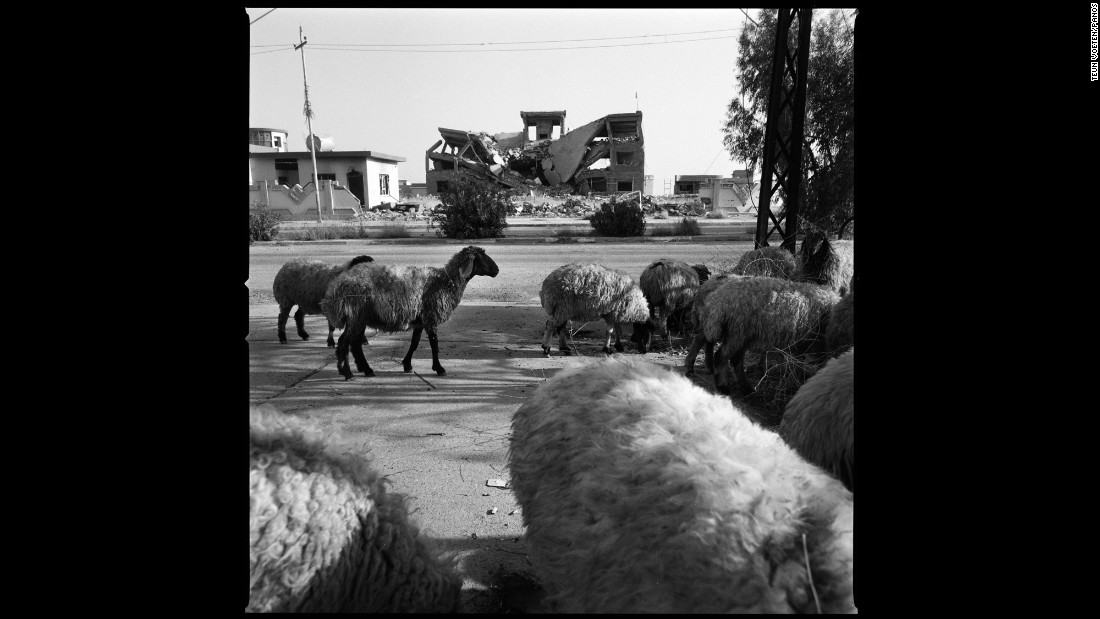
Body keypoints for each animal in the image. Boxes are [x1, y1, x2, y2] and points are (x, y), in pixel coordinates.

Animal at [321, 245, 499, 380]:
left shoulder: (420, 320)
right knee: (344, 342)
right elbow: (434, 344)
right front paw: (439, 368)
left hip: (360, 317)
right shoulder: (430, 316)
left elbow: (414, 343)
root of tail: (336, 287)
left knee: (355, 343)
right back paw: (347, 372)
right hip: (355, 315)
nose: (497, 270)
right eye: (482, 256)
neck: (445, 281)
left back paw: (367, 370)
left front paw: (407, 364)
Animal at [699, 277, 836, 395]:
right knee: (721, 356)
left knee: (736, 361)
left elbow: (799, 365)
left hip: (742, 334)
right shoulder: (812, 342)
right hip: (737, 331)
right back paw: (724, 386)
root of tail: (718, 298)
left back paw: (747, 388)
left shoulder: (803, 344)